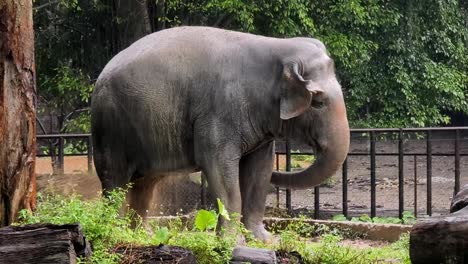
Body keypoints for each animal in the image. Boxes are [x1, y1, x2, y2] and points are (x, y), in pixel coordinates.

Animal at [91, 25, 350, 240]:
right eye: (318, 102)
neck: (277, 46)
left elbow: (260, 172)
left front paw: (263, 240)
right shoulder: (218, 112)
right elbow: (220, 169)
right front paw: (232, 241)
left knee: (145, 184)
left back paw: (143, 236)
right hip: (110, 128)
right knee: (115, 182)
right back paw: (114, 233)